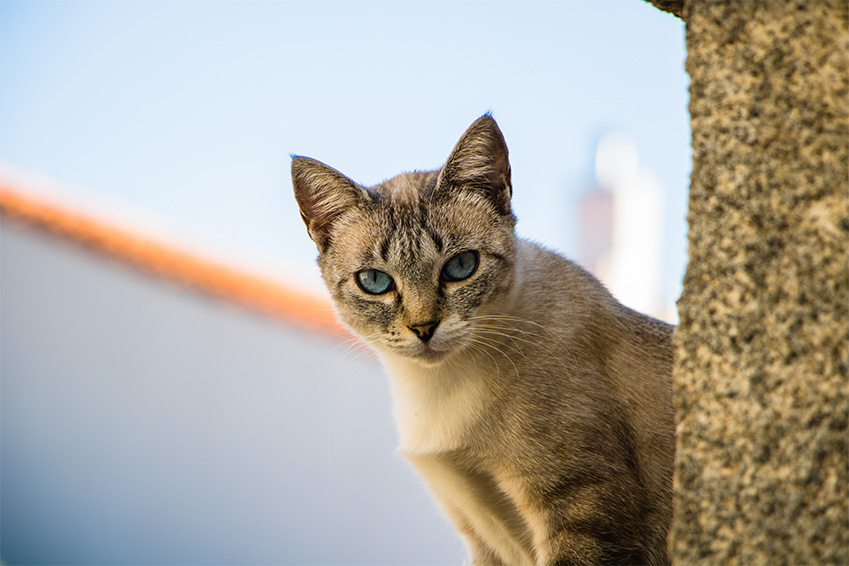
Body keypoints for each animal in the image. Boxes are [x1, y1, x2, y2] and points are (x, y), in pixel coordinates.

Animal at [292, 113, 676, 564]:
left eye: (461, 266)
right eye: (374, 281)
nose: (423, 328)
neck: (438, 392)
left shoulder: (584, 515)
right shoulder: (483, 539)